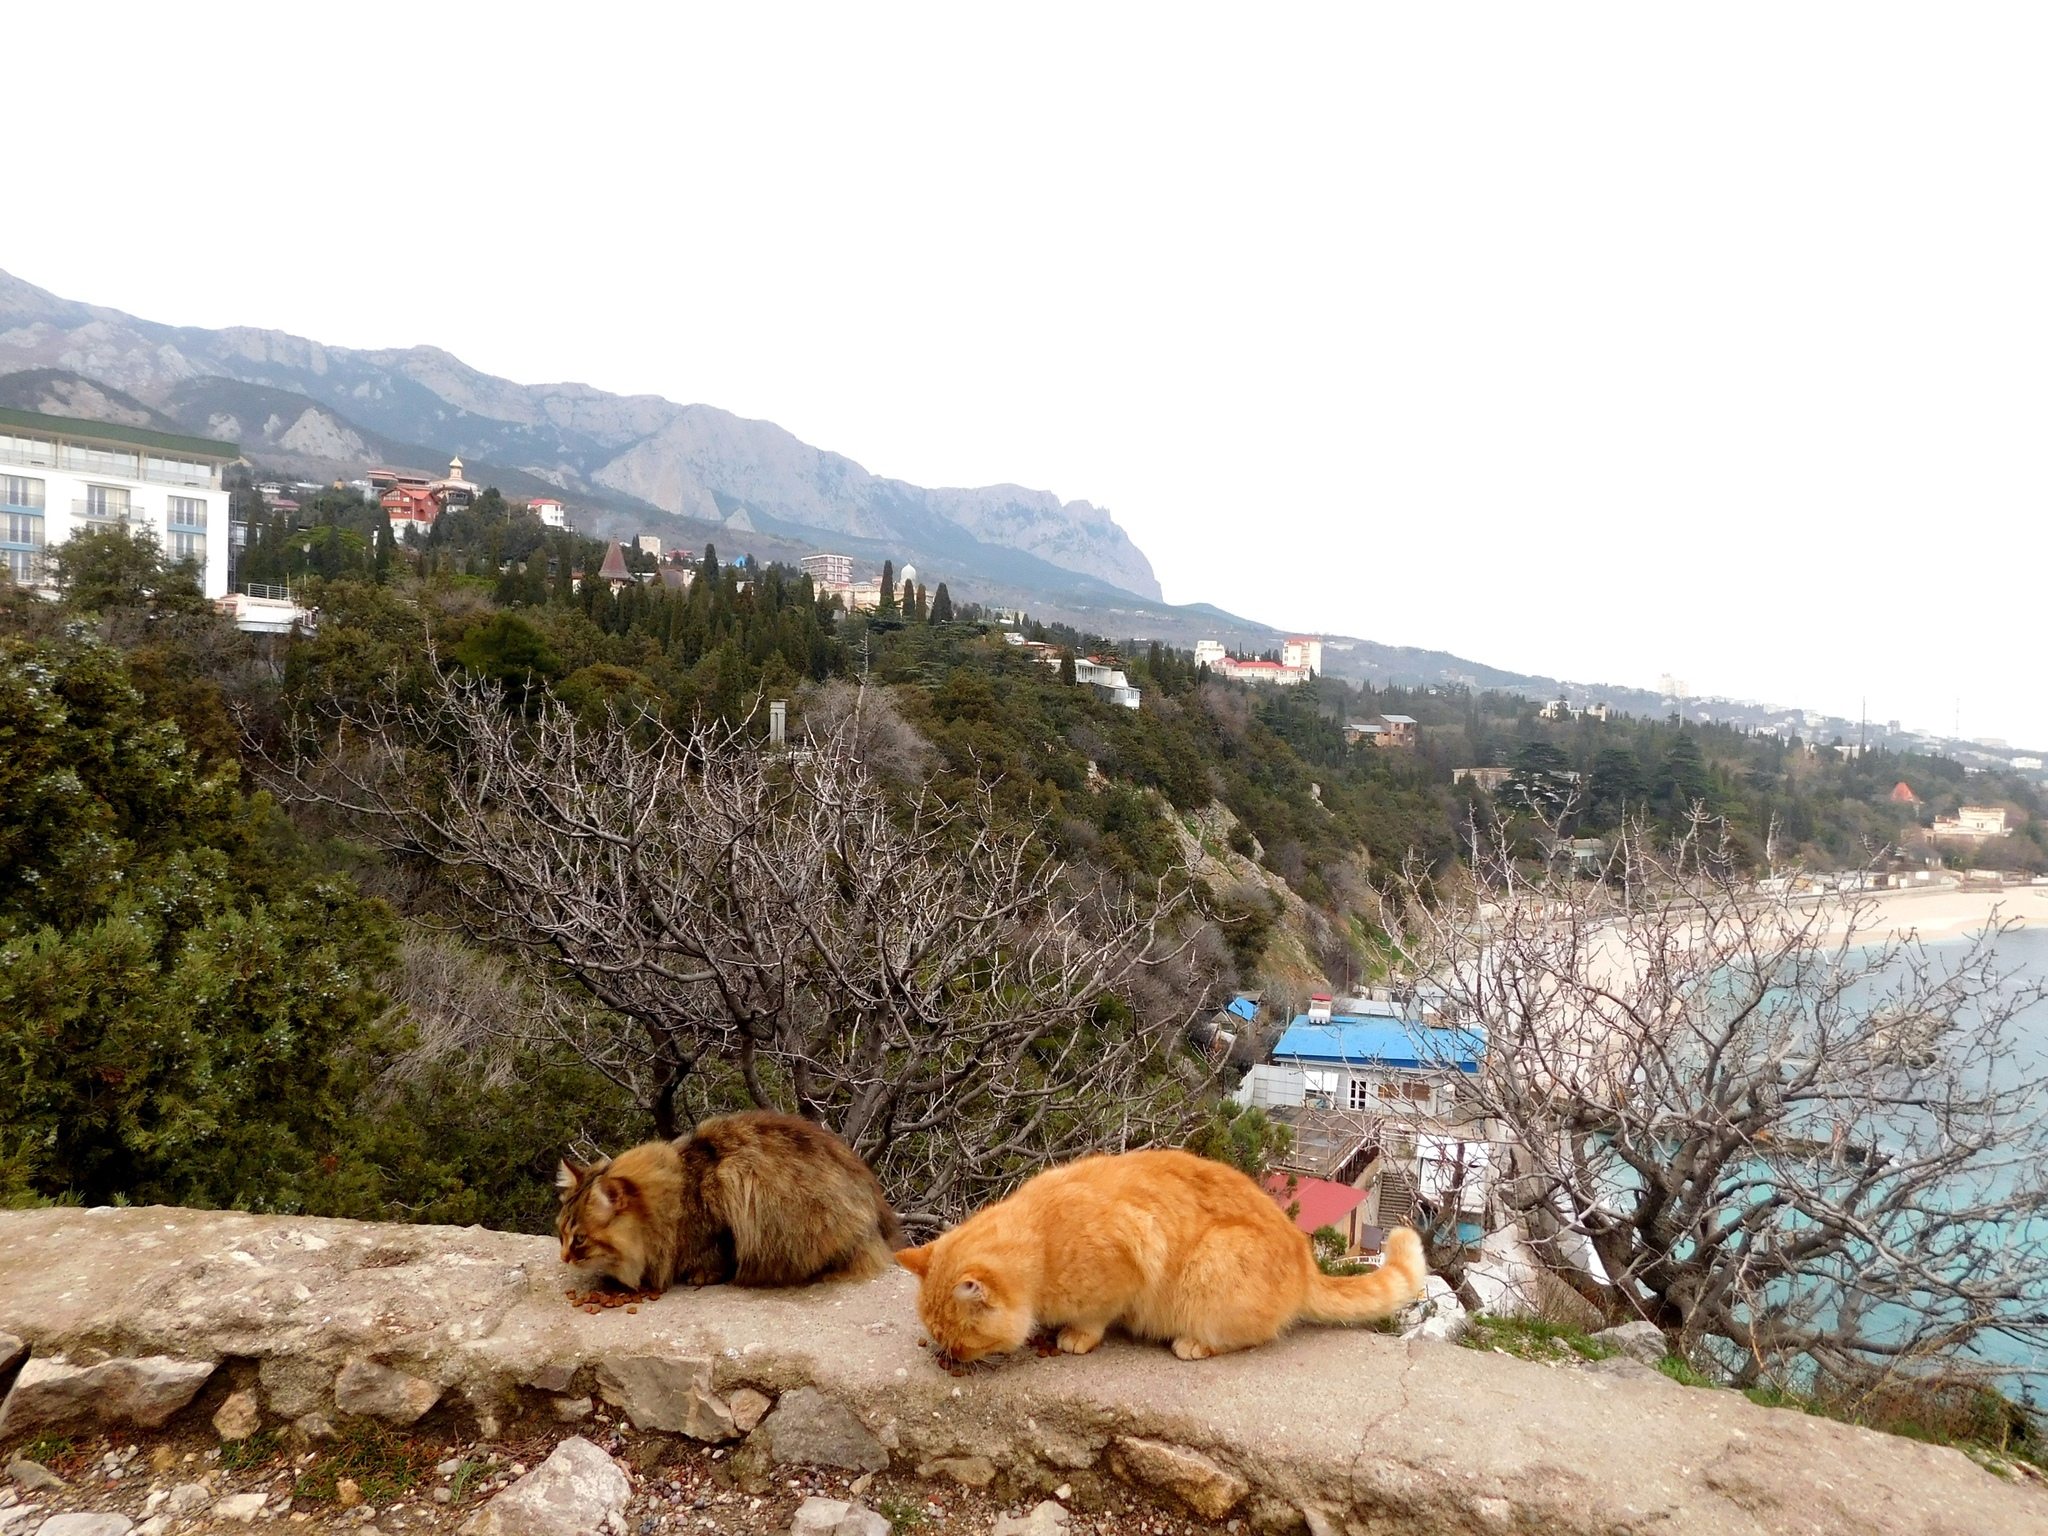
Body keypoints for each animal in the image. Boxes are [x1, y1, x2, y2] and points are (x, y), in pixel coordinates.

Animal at [897, 1146, 1425, 1368]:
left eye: (961, 1340)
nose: (950, 1358)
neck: (1043, 1238)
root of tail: (1305, 1259)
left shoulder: (1129, 1254)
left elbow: (1096, 1316)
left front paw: (1076, 1336)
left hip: (1214, 1264)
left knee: (1244, 1337)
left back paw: (1193, 1344)